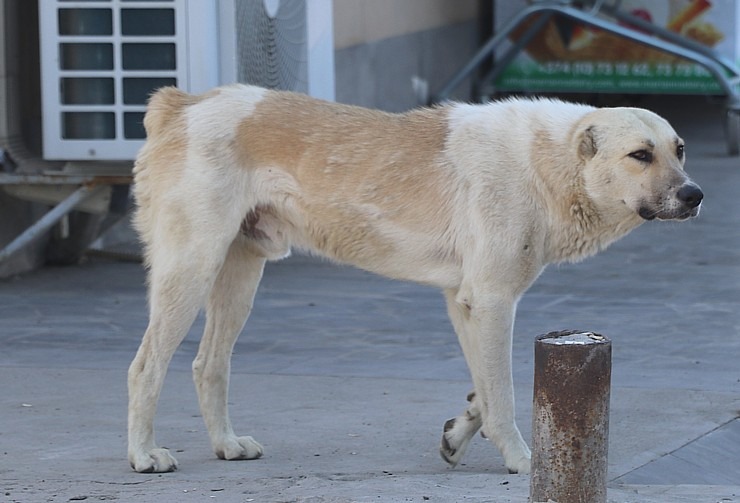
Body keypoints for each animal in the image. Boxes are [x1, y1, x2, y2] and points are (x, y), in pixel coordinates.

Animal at [125, 83, 700, 476]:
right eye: (640, 155)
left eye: (679, 149)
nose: (695, 195)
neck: (550, 162)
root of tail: (182, 104)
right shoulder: (493, 302)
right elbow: (505, 393)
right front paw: (521, 460)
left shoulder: (465, 302)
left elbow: (485, 389)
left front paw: (460, 433)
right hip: (190, 269)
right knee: (146, 366)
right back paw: (143, 453)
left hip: (240, 276)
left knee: (208, 364)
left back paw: (226, 444)